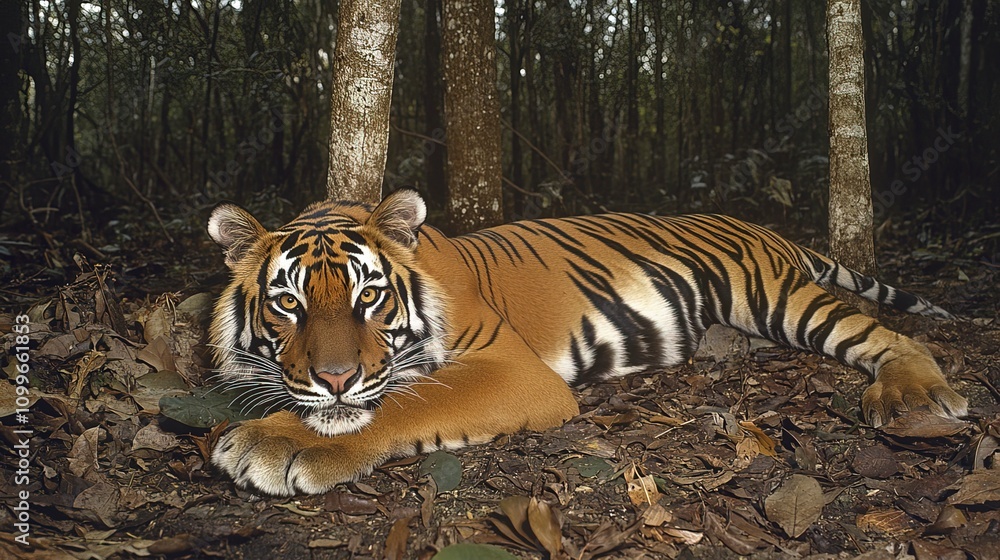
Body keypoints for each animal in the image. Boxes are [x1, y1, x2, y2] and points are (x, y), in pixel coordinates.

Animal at [207, 188, 967, 496]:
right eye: (288, 303)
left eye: (368, 296)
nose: (334, 378)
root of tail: (760, 226)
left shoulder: (514, 369)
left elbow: (407, 399)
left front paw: (274, 442)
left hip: (777, 295)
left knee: (886, 335)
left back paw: (915, 397)